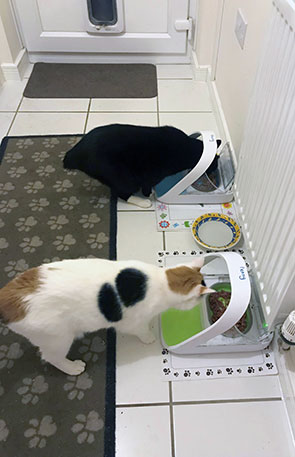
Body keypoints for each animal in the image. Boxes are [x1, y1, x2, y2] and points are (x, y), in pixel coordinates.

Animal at [0, 256, 213, 374]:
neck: (160, 280)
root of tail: (8, 297)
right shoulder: (131, 322)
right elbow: (141, 330)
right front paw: (148, 337)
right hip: (58, 338)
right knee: (51, 357)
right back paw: (72, 368)